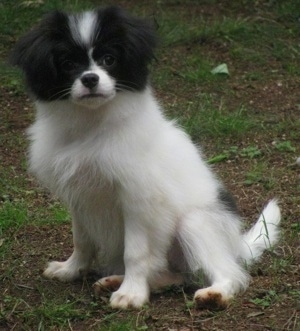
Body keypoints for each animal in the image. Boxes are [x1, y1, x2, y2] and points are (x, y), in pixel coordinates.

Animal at [10, 5, 280, 312]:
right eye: (68, 64)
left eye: (109, 59)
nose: (90, 78)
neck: (93, 128)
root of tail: (235, 245)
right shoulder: (79, 199)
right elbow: (82, 240)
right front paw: (71, 269)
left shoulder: (139, 200)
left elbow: (136, 253)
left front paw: (132, 293)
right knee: (173, 275)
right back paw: (120, 280)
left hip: (195, 223)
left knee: (228, 272)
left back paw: (216, 292)